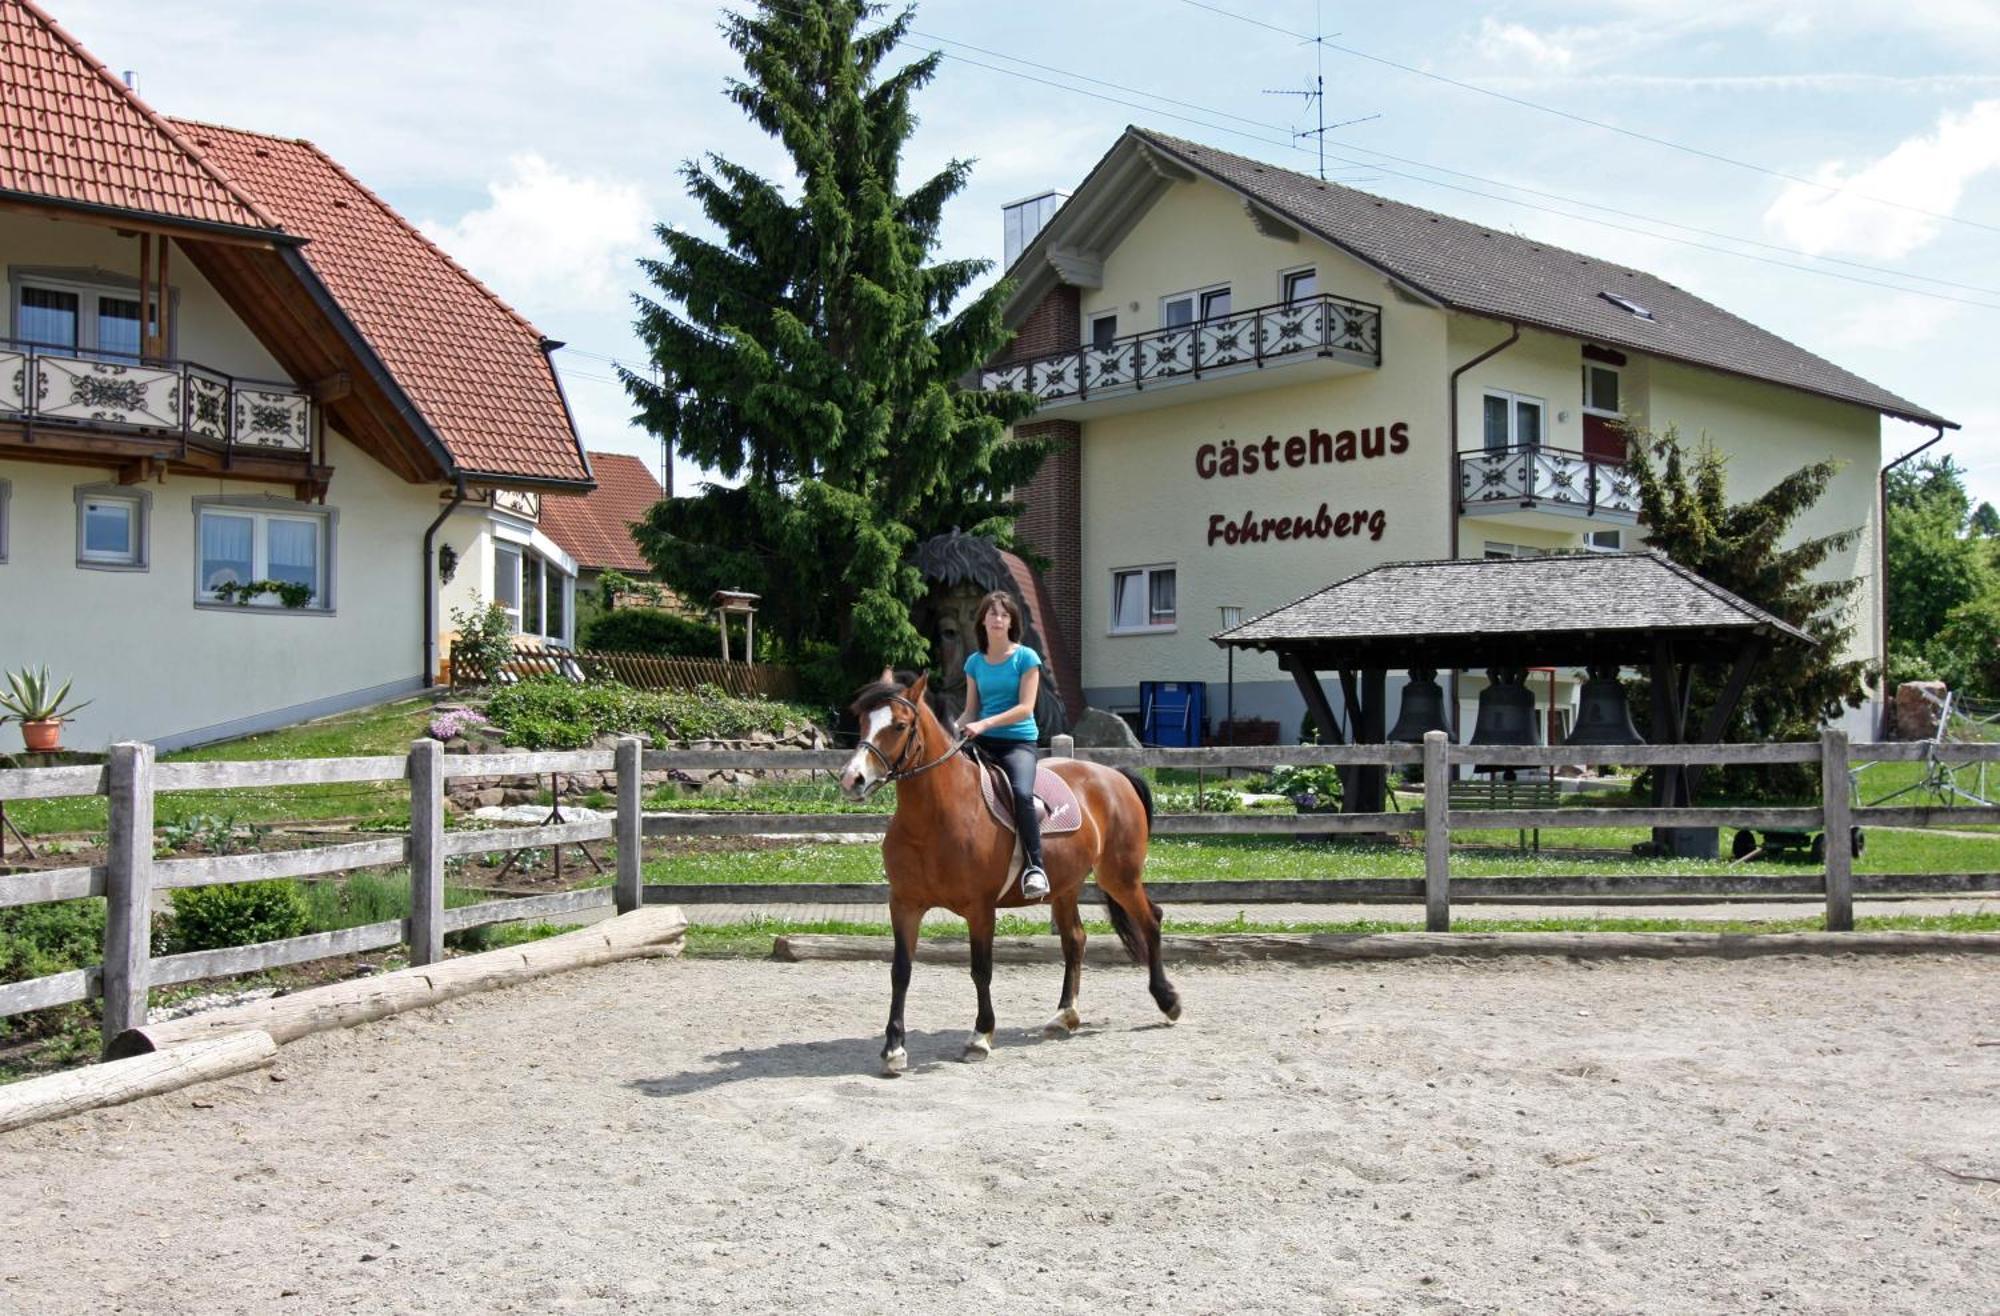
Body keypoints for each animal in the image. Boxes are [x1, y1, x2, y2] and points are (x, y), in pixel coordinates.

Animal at [836, 672, 1176, 1072]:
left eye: (900, 725)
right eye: (862, 721)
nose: (852, 779)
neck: (936, 816)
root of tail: (1115, 776)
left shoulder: (980, 909)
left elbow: (981, 969)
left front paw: (980, 1037)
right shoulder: (904, 904)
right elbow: (900, 971)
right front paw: (893, 1048)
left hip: (1119, 876)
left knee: (1151, 920)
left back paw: (1168, 1001)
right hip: (1066, 886)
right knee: (1075, 939)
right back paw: (1065, 1015)